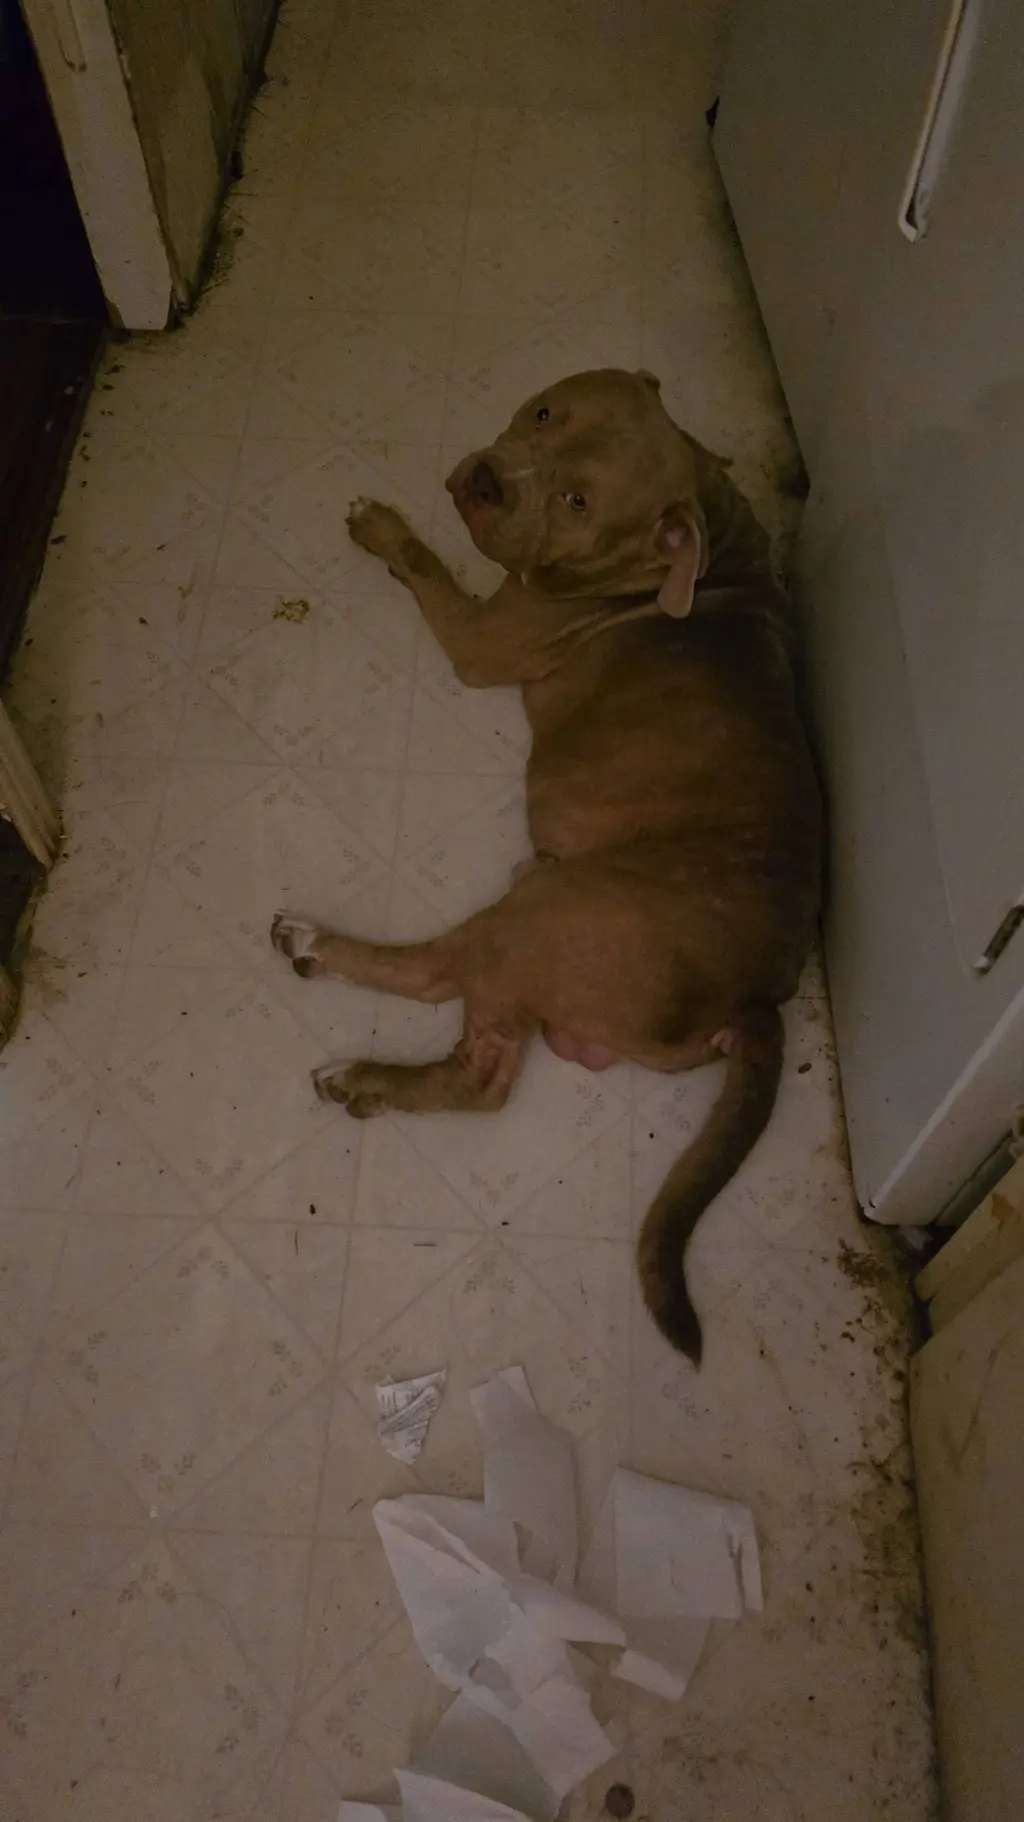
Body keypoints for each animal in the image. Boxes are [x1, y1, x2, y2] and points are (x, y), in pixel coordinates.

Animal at [272, 369, 822, 1364]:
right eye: (544, 414)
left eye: (579, 502)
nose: (489, 481)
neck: (701, 548)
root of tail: (760, 997)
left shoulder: (481, 635)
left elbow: (432, 568)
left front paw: (388, 530)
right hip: (536, 909)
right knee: (481, 1070)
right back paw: (376, 1083)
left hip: (541, 914)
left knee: (444, 1000)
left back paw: (325, 974)